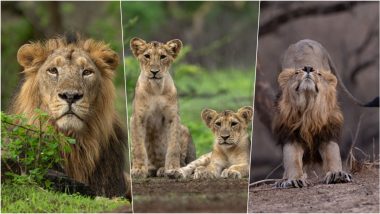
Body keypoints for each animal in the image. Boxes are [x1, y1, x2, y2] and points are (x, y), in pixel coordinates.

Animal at [130, 37, 196, 179]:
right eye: (147, 56)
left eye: (163, 57)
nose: (154, 72)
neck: (156, 88)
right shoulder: (137, 117)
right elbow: (138, 147)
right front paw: (138, 170)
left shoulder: (173, 117)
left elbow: (173, 147)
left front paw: (172, 169)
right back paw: (150, 169)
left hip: (185, 129)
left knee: (183, 161)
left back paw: (162, 170)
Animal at [274, 39, 354, 188]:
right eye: (296, 72)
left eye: (319, 74)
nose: (308, 68)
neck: (308, 109)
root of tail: (305, 40)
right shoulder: (291, 135)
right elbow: (292, 160)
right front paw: (294, 179)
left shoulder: (328, 132)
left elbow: (333, 156)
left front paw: (337, 174)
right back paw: (282, 180)